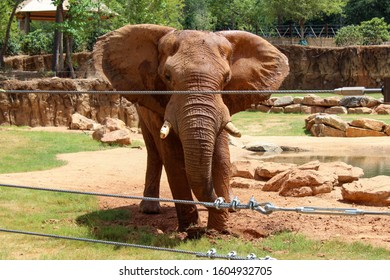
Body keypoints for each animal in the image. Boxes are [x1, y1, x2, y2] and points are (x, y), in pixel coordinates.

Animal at [92, 24, 290, 233]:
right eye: (167, 76)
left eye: (226, 79)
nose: (219, 206)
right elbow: (172, 158)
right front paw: (191, 229)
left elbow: (221, 155)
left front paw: (220, 225)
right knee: (153, 151)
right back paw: (150, 210)